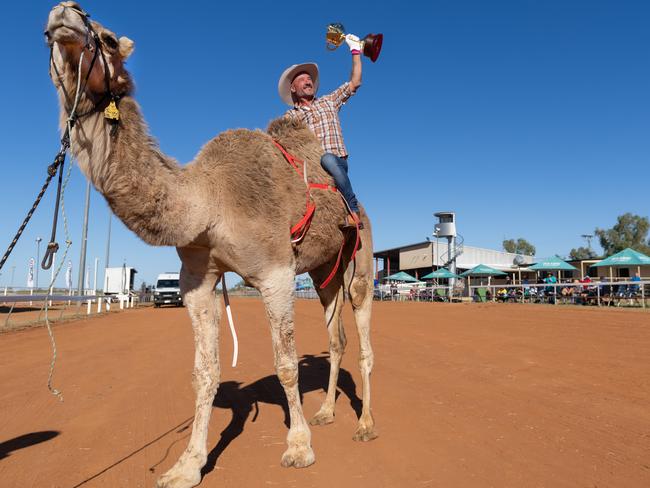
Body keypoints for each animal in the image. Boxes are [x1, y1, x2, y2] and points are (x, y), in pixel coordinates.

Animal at [45, 1, 374, 486]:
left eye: (107, 39)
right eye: (46, 36)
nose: (63, 15)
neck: (209, 203)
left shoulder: (275, 273)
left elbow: (285, 363)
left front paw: (297, 448)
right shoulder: (197, 278)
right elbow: (204, 371)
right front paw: (187, 465)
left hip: (360, 256)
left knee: (364, 334)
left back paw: (366, 424)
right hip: (321, 271)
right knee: (336, 337)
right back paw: (327, 412)